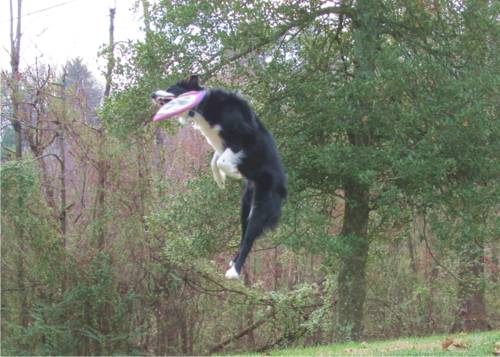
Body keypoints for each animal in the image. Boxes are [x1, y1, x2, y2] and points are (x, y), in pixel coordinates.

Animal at [150, 76, 288, 278]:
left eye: (171, 88)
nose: (152, 94)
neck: (202, 106)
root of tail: (283, 188)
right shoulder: (221, 146)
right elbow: (215, 160)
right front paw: (220, 179)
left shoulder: (245, 137)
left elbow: (223, 160)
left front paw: (233, 172)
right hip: (245, 207)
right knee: (244, 235)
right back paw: (233, 263)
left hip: (261, 206)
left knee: (249, 239)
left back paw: (234, 272)